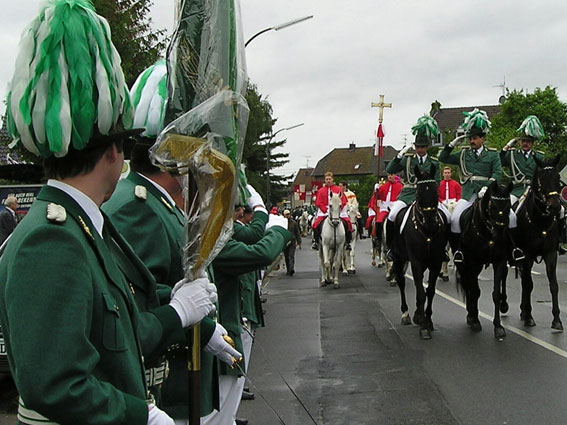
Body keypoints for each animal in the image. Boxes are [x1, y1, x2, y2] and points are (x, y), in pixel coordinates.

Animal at [390, 164, 448, 340]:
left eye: (436, 193)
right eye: (418, 193)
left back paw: (417, 314)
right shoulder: (415, 261)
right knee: (401, 282)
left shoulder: (435, 262)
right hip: (399, 258)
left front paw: (427, 320)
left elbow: (429, 291)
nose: (430, 223)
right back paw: (406, 314)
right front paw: (423, 326)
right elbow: (421, 292)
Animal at [458, 181, 516, 340]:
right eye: (493, 206)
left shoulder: (500, 261)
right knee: (467, 284)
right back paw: (471, 314)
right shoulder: (473, 262)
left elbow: (496, 294)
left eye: (509, 206)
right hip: (464, 264)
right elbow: (475, 291)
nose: (500, 231)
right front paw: (475, 320)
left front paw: (498, 326)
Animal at [516, 154, 564, 330]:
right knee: (524, 281)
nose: (555, 206)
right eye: (541, 179)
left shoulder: (551, 254)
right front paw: (529, 317)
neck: (541, 222)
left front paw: (557, 319)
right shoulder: (527, 255)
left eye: (557, 178)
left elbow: (554, 285)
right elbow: (529, 284)